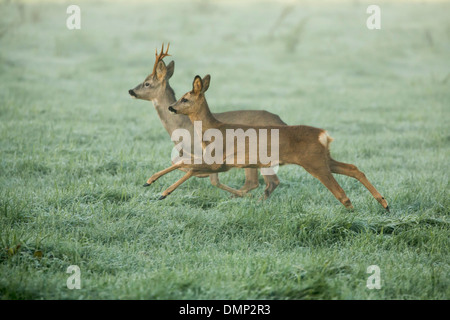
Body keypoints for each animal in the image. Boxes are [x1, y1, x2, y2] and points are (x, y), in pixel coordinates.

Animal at [128, 42, 286, 198]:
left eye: (147, 83)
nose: (131, 91)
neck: (182, 126)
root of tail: (282, 122)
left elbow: (210, 178)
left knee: (262, 182)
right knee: (263, 182)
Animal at [145, 74, 390, 211]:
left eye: (185, 98)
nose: (171, 107)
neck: (214, 129)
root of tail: (323, 135)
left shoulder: (221, 161)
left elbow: (189, 168)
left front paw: (161, 191)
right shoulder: (223, 162)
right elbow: (186, 165)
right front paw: (150, 182)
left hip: (314, 163)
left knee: (340, 191)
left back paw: (355, 208)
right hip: (325, 159)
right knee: (354, 168)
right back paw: (384, 203)